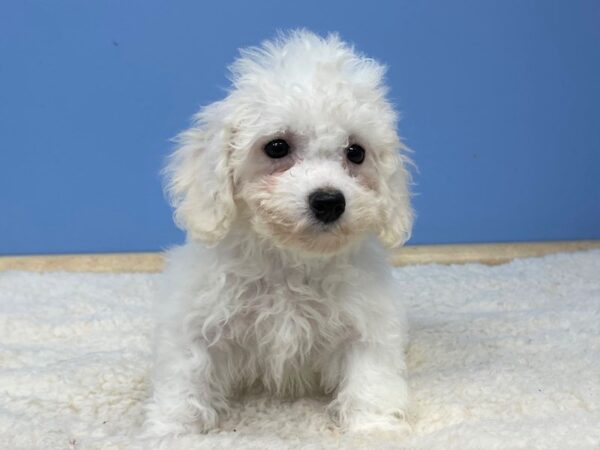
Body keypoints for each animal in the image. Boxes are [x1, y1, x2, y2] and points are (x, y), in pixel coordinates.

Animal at [144, 29, 414, 438]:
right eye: (276, 147)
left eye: (356, 152)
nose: (329, 201)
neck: (288, 262)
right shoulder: (196, 317)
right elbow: (186, 373)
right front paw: (171, 429)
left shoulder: (366, 323)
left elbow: (370, 377)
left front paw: (373, 429)